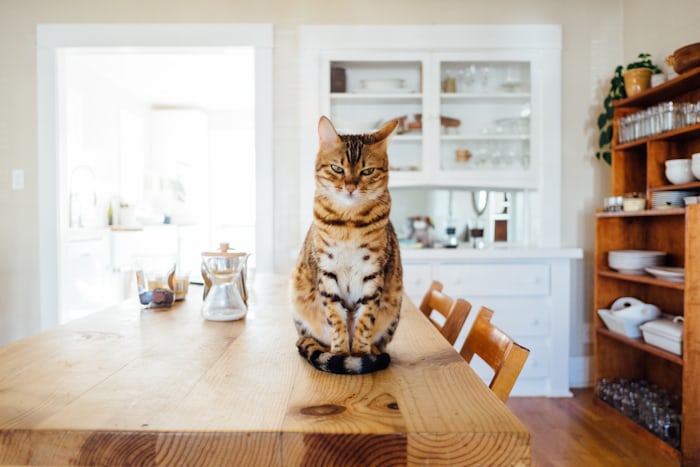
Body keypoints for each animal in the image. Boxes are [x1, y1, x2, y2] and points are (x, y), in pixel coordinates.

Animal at [292, 117, 404, 376]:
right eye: (337, 169)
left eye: (367, 171)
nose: (350, 187)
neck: (349, 223)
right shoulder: (327, 271)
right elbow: (335, 318)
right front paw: (341, 353)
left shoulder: (373, 273)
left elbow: (365, 320)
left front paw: (361, 354)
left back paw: (374, 352)